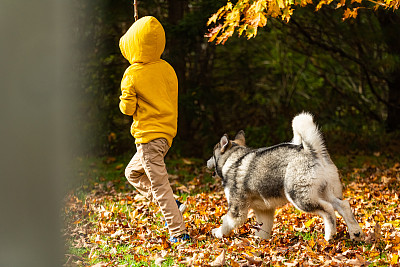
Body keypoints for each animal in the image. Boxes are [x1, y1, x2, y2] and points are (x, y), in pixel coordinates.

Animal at [208, 113, 364, 243]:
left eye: (212, 154)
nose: (207, 162)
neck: (232, 159)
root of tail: (312, 151)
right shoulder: (264, 210)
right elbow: (263, 230)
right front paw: (260, 243)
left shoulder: (237, 210)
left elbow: (226, 222)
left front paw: (217, 232)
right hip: (324, 192)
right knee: (343, 205)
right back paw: (356, 233)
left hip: (300, 198)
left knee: (329, 210)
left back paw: (329, 235)